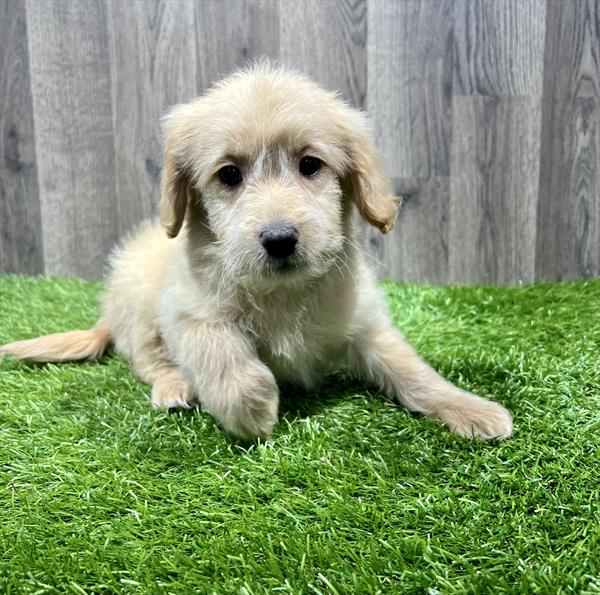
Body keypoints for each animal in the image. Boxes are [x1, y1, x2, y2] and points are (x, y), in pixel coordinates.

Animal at [0, 62, 510, 440]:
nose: (280, 238)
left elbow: (411, 369)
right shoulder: (186, 310)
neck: (284, 292)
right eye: (229, 174)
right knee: (148, 360)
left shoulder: (364, 322)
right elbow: (218, 347)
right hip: (137, 302)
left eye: (310, 165)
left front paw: (470, 408)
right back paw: (174, 387)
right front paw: (252, 407)